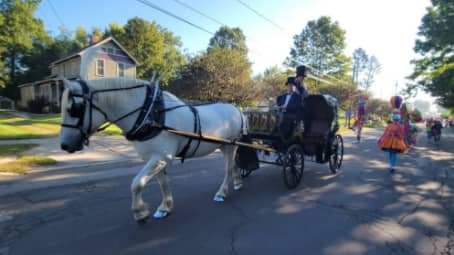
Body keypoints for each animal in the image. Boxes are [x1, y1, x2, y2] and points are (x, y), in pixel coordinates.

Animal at [59, 76, 245, 222]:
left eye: (74, 109)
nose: (64, 145)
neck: (149, 114)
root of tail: (237, 109)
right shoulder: (156, 158)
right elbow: (162, 183)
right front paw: (165, 207)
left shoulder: (161, 157)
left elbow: (136, 184)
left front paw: (140, 212)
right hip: (224, 146)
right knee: (234, 165)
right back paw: (237, 182)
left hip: (230, 145)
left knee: (228, 169)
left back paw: (221, 192)